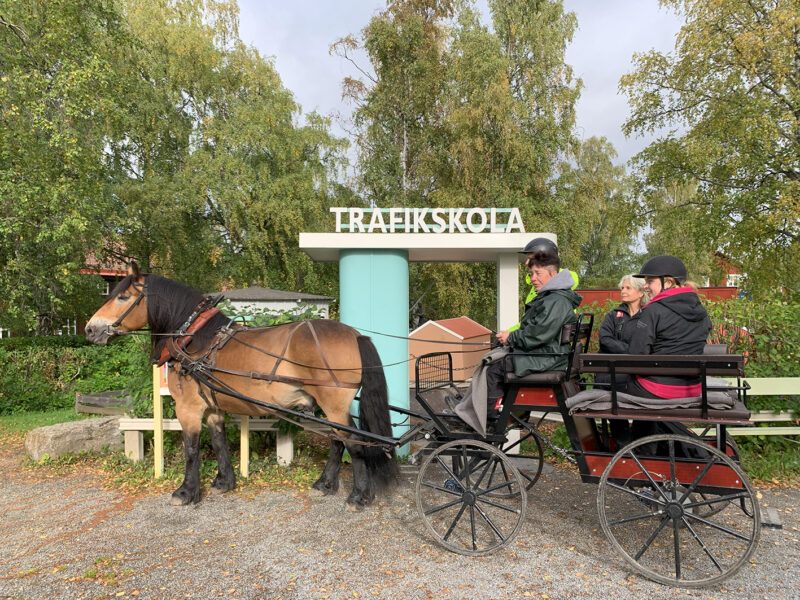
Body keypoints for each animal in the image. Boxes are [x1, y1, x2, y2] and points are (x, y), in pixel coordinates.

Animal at [85, 266, 396, 506]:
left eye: (123, 296)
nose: (90, 329)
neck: (196, 339)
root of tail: (355, 334)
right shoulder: (212, 407)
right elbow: (219, 441)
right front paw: (224, 481)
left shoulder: (188, 408)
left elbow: (191, 449)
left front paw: (185, 492)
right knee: (337, 440)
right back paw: (325, 483)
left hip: (333, 405)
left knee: (353, 441)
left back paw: (359, 496)